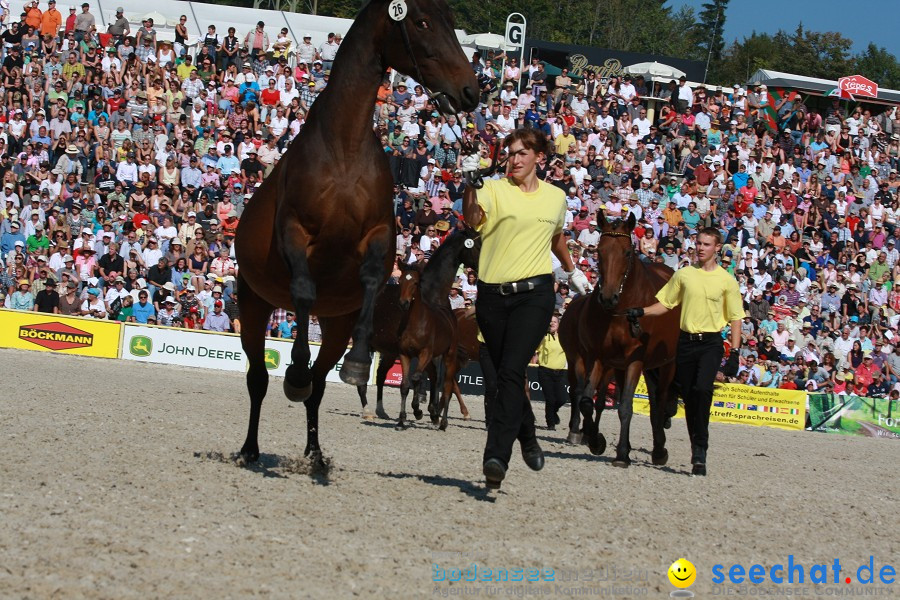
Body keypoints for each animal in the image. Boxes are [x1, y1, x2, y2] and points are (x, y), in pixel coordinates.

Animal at [236, 0, 482, 464]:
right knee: (257, 379)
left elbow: (370, 280)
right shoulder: (295, 231)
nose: (471, 90)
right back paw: (251, 447)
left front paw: (356, 363)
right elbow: (303, 289)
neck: (343, 150)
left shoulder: (379, 234)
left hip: (336, 325)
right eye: (421, 22)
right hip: (253, 305)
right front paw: (294, 369)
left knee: (317, 388)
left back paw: (315, 452)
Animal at [560, 212, 680, 468]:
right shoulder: (599, 358)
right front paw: (595, 440)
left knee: (659, 401)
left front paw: (622, 453)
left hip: (666, 364)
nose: (608, 297)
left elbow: (625, 406)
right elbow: (587, 400)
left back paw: (658, 450)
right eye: (600, 251)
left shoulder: (635, 361)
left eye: (626, 252)